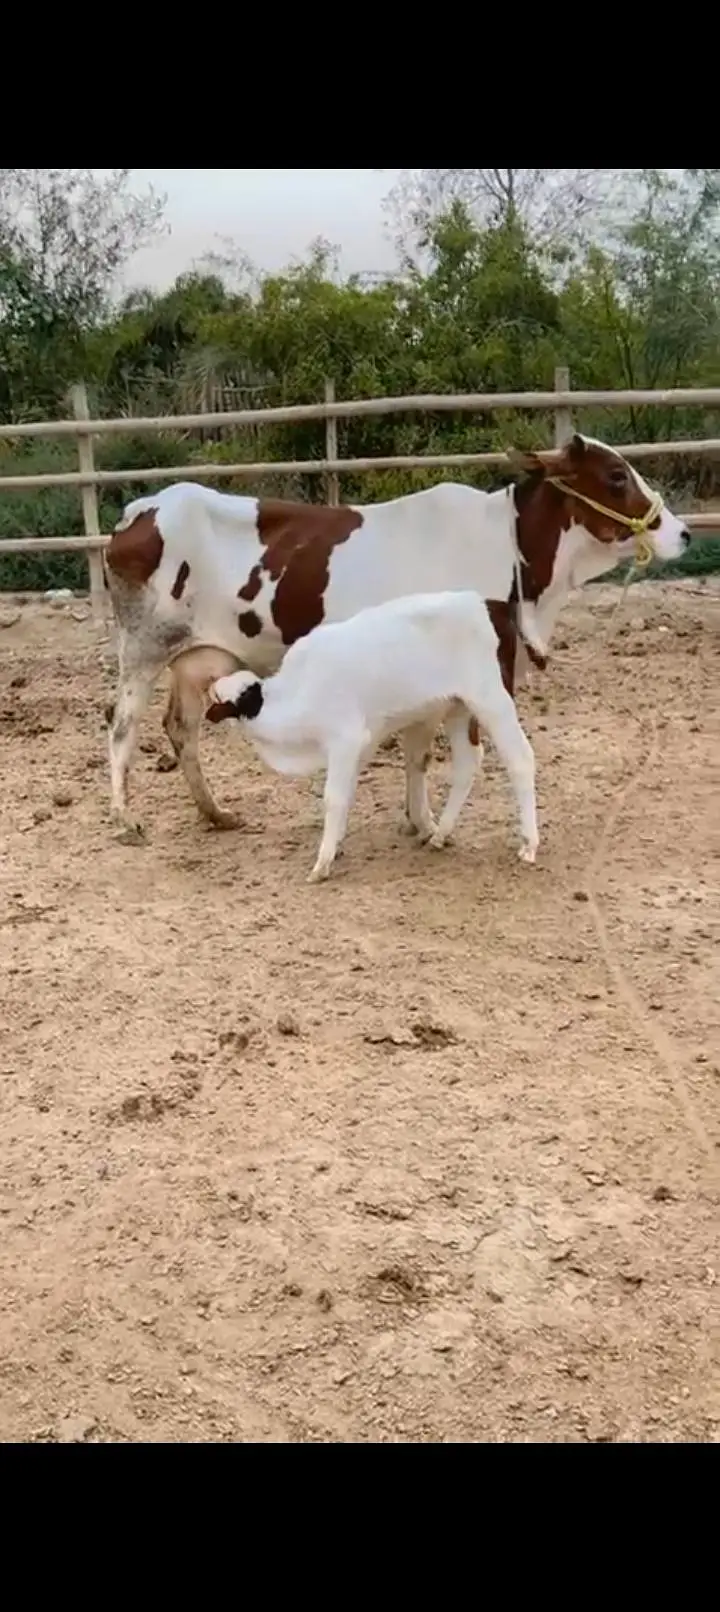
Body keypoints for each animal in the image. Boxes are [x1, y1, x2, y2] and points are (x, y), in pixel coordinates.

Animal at [104, 431, 691, 844]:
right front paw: (427, 824)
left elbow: (418, 754)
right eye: (616, 475)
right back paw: (125, 819)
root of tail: (142, 511)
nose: (683, 532)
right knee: (122, 728)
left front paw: (418, 820)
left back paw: (216, 814)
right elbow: (430, 752)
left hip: (197, 656)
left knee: (181, 730)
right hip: (143, 647)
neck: (513, 554)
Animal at [205, 591, 542, 882]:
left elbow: (335, 797)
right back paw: (440, 835)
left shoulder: (345, 739)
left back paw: (529, 844)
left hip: (493, 701)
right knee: (468, 762)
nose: (209, 688)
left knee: (520, 758)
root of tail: (492, 604)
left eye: (219, 697)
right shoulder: (362, 744)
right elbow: (349, 792)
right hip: (458, 709)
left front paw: (322, 863)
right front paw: (337, 845)